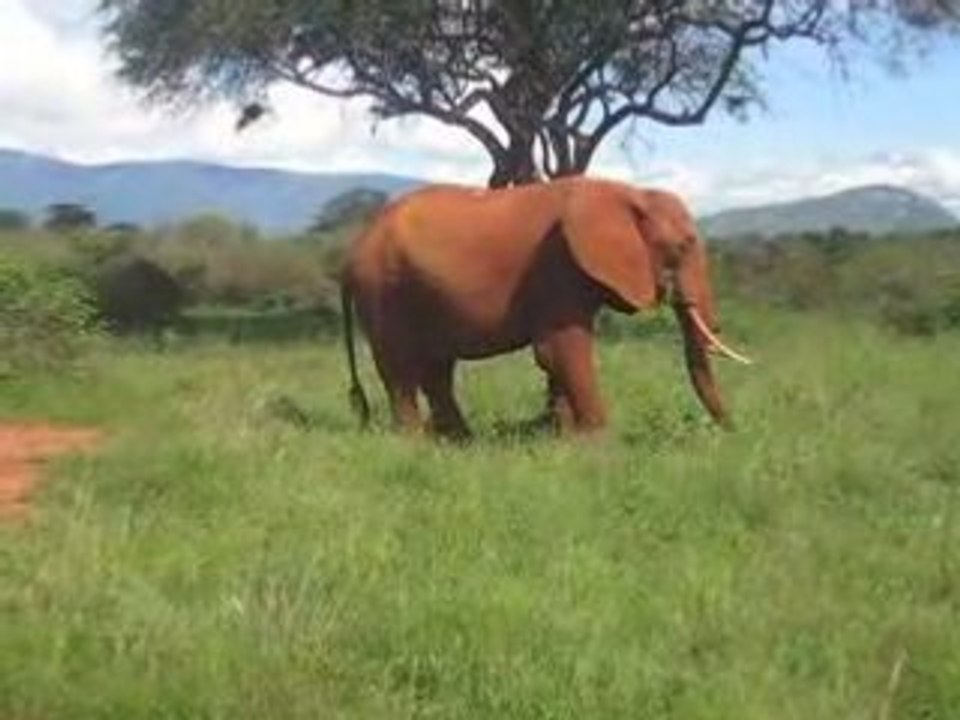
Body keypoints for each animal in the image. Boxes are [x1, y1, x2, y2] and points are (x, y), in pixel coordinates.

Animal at [339, 176, 750, 437]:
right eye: (682, 246)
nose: (734, 434)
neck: (627, 191)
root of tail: (353, 248)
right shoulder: (558, 266)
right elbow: (561, 349)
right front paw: (600, 446)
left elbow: (558, 357)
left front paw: (563, 439)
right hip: (383, 290)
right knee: (400, 369)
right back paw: (415, 444)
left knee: (437, 368)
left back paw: (460, 442)